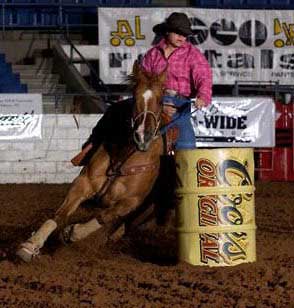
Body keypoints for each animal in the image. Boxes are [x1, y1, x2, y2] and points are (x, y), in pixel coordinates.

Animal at [17, 62, 167, 262]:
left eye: (160, 100)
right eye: (134, 98)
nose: (143, 136)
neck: (122, 158)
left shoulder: (131, 201)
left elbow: (104, 216)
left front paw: (72, 232)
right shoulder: (83, 183)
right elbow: (59, 215)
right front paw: (31, 244)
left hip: (148, 210)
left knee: (123, 226)